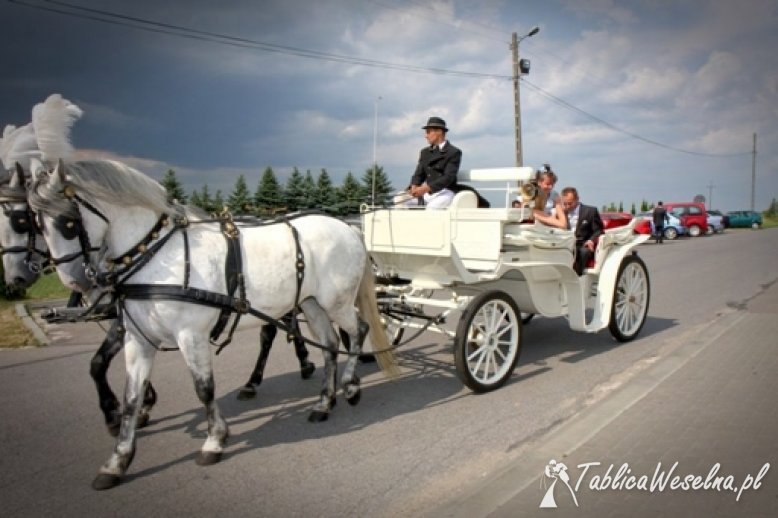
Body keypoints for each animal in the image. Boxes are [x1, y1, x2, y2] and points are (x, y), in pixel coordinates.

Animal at [29, 158, 394, 492]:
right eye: (36, 223)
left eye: (68, 223)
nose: (75, 283)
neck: (160, 258)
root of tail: (348, 227)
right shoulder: (138, 339)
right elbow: (131, 396)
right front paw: (117, 460)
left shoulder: (191, 334)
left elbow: (204, 388)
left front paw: (215, 440)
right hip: (311, 303)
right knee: (331, 344)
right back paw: (323, 403)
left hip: (336, 301)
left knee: (358, 330)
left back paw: (350, 385)